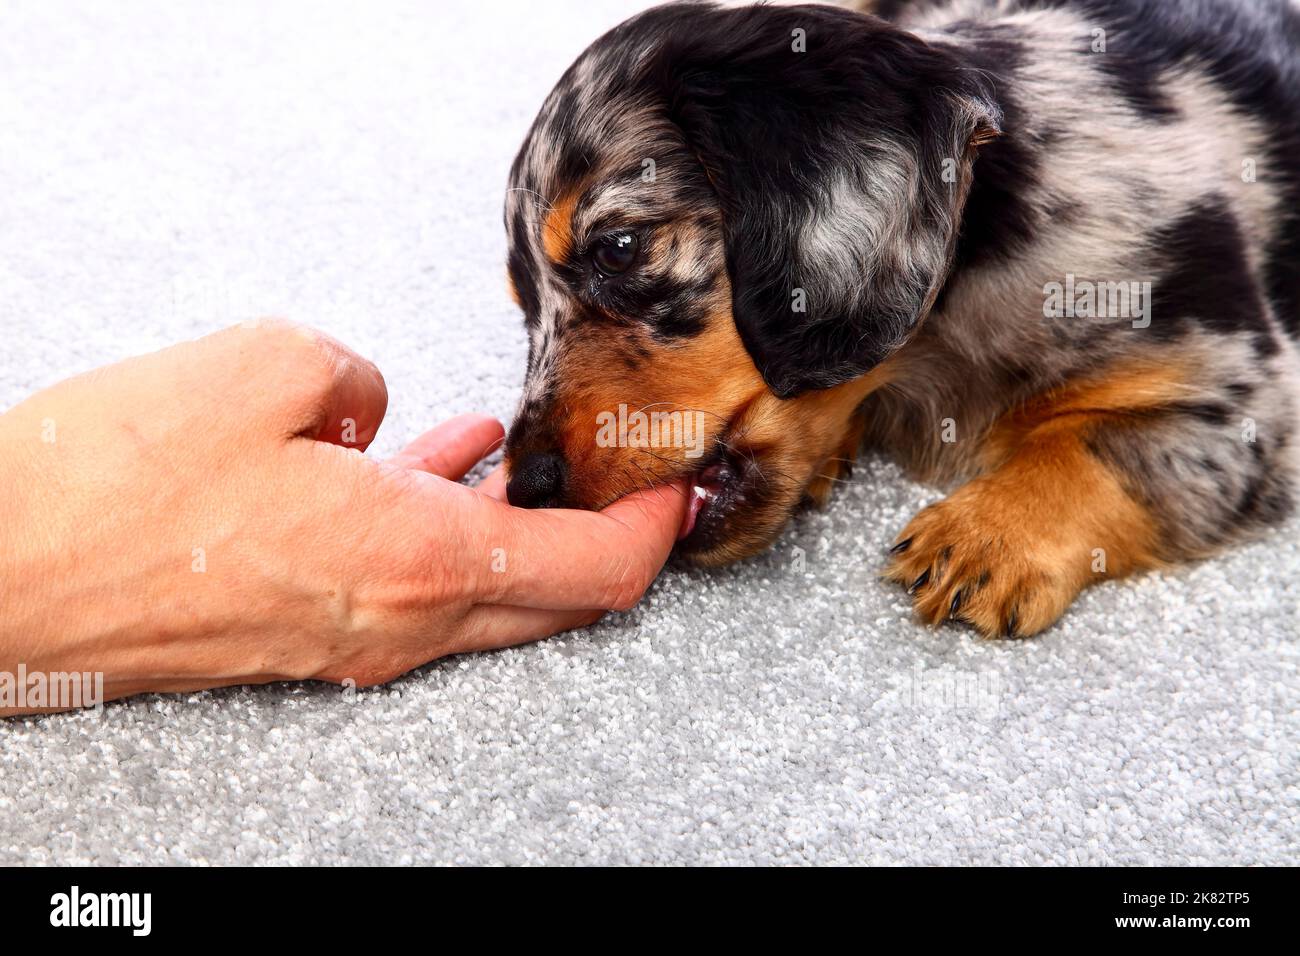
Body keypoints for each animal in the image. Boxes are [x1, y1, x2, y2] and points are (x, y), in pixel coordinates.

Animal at [499, 1, 1300, 642]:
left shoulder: (1241, 397)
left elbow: (1093, 443)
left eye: (619, 248)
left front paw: (989, 535)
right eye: (523, 305)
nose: (523, 489)